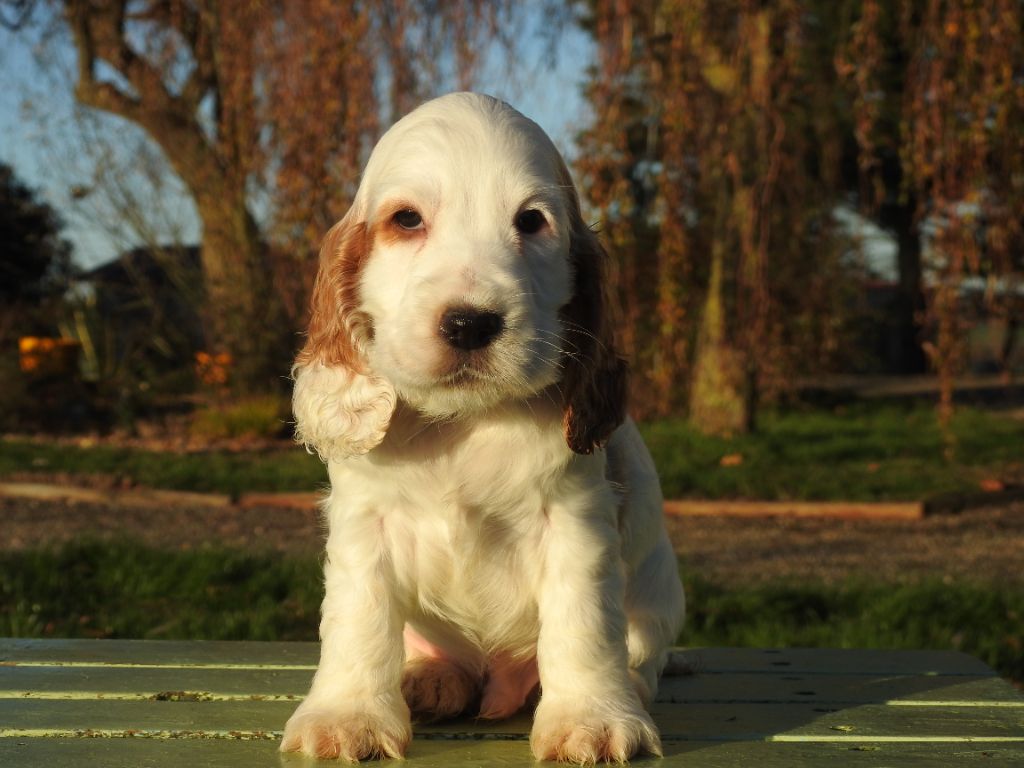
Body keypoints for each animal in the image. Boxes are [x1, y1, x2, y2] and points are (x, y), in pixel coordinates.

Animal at [280, 91, 684, 765]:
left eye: (532, 222)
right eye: (406, 220)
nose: (470, 323)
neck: (464, 422)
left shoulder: (573, 519)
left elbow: (580, 623)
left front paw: (592, 720)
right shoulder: (364, 522)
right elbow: (359, 618)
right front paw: (347, 716)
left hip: (657, 595)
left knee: (636, 654)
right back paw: (430, 679)